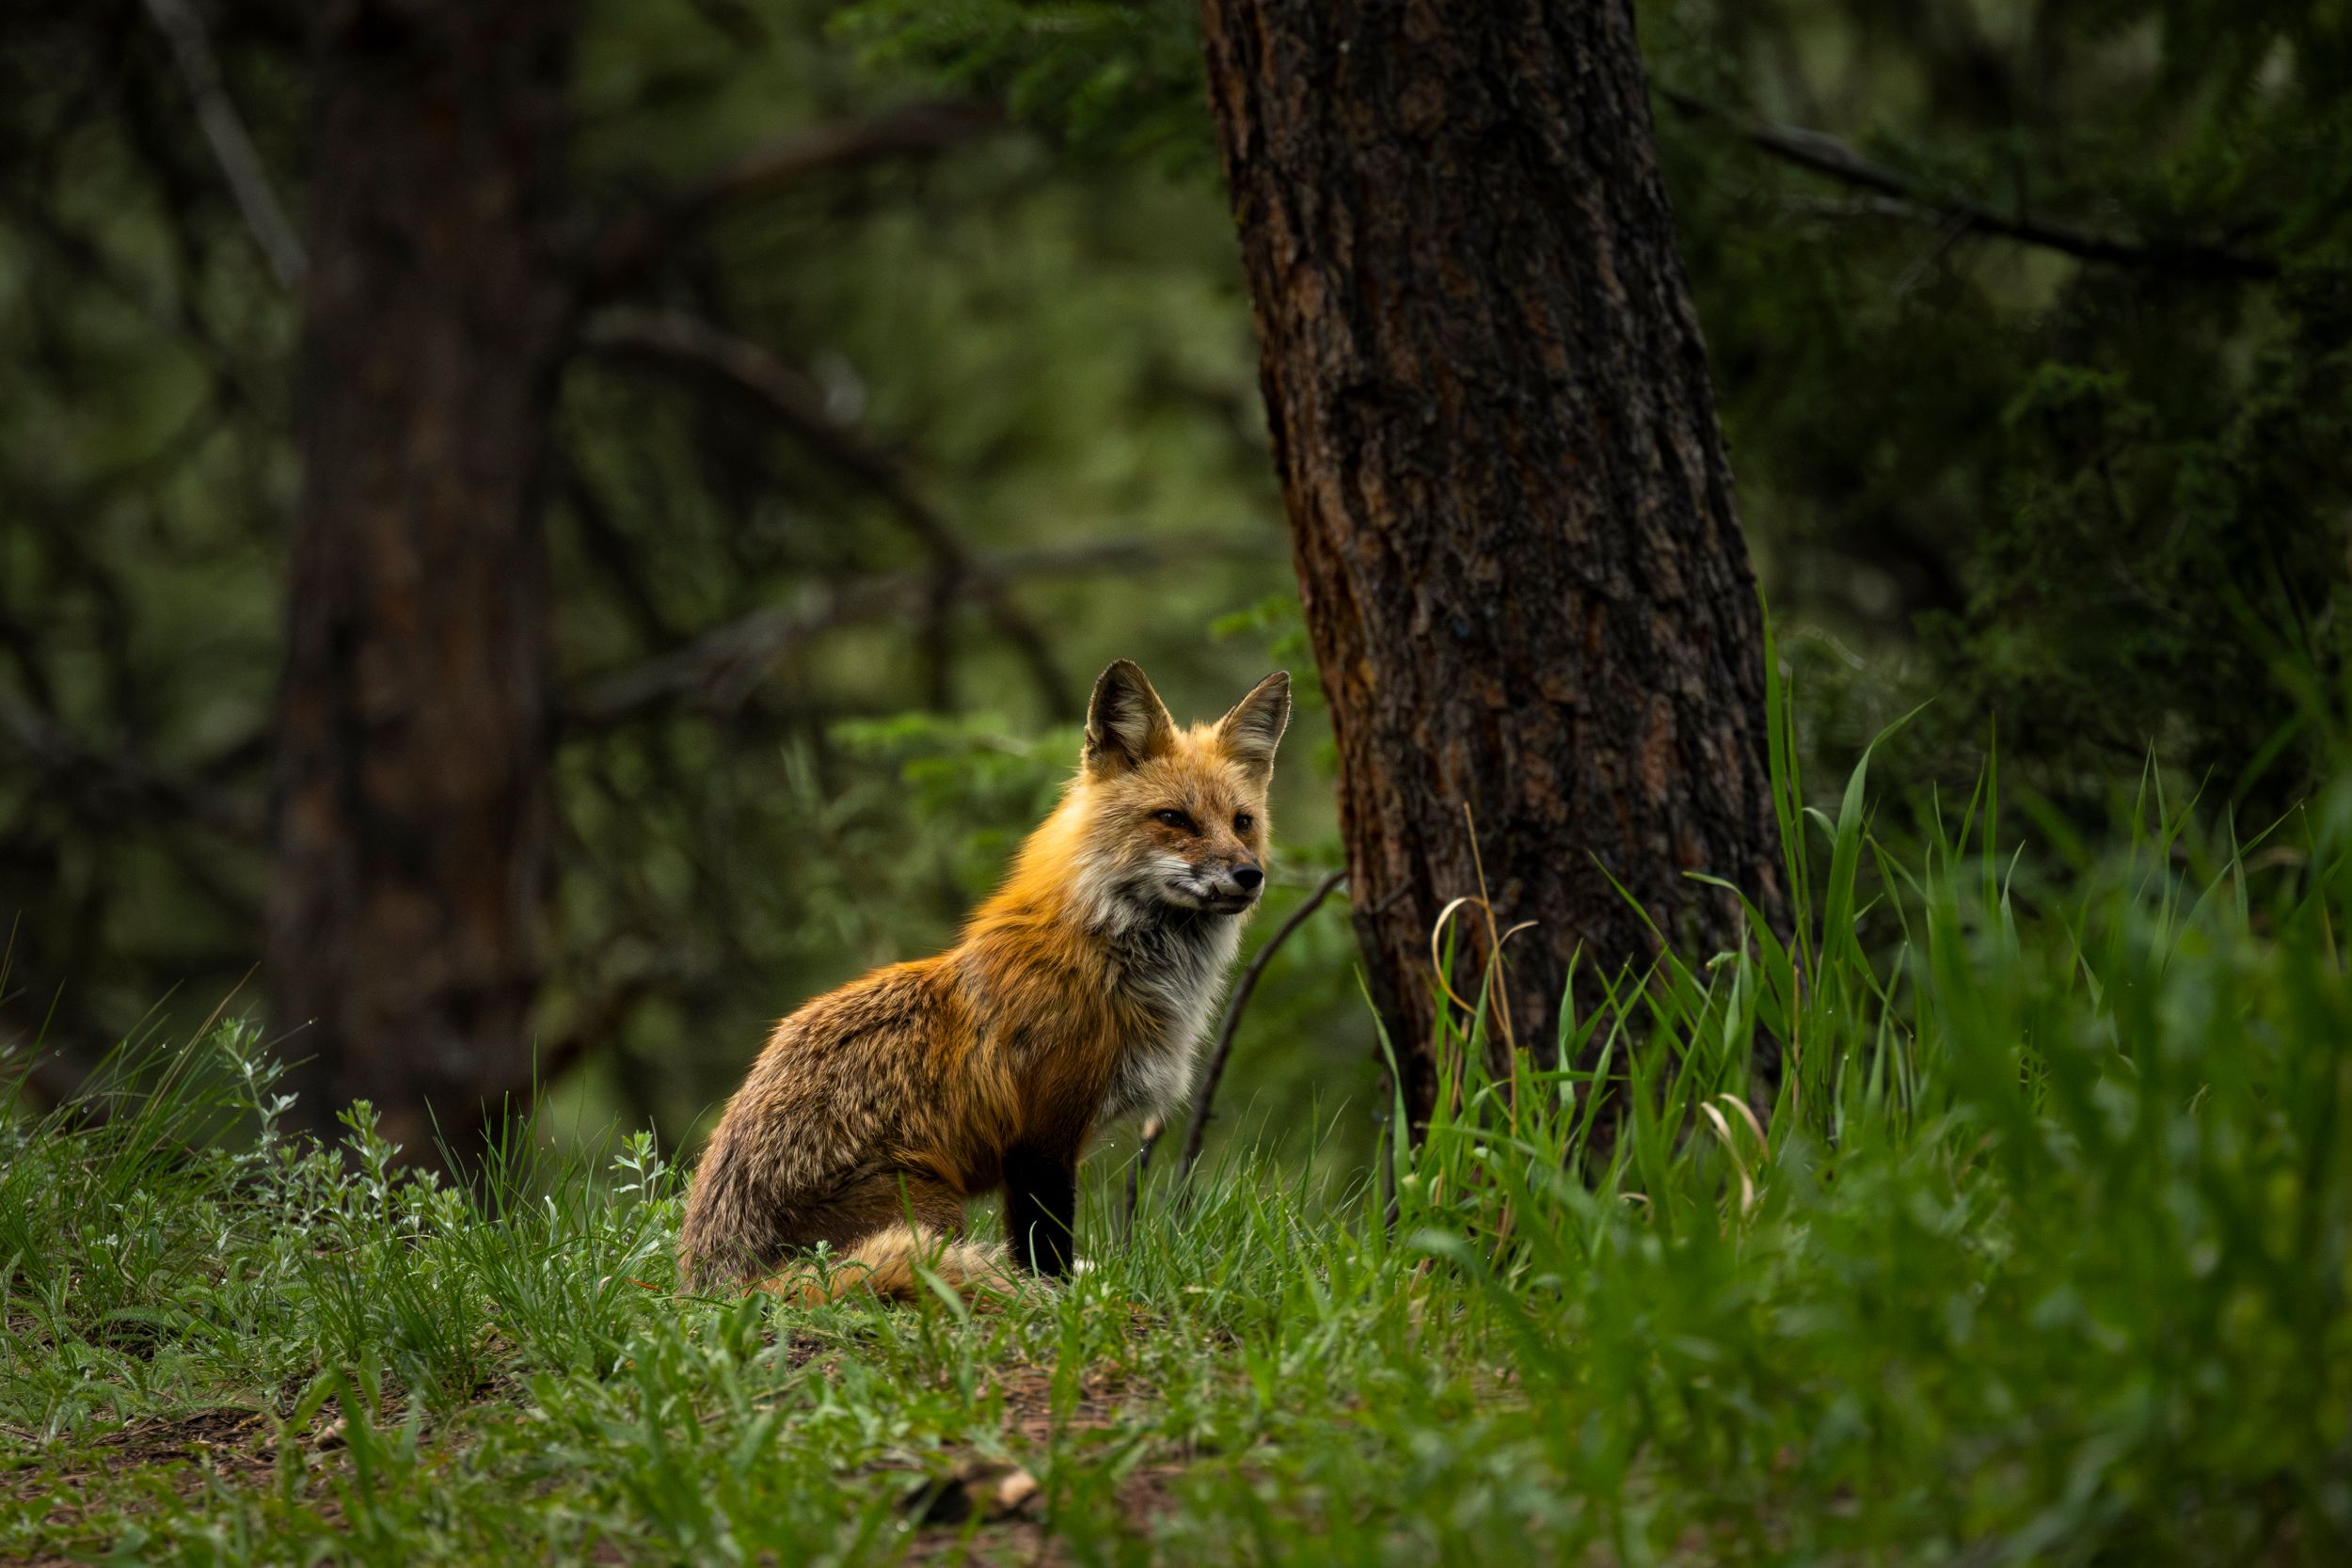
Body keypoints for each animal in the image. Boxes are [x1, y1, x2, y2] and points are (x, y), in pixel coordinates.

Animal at [677, 659, 1291, 1302]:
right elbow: (1043, 1252)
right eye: (1174, 819)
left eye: (1243, 823)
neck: (1108, 958)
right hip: (933, 1207)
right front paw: (1058, 1302)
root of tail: (720, 1281)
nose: (1249, 875)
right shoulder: (1041, 1138)